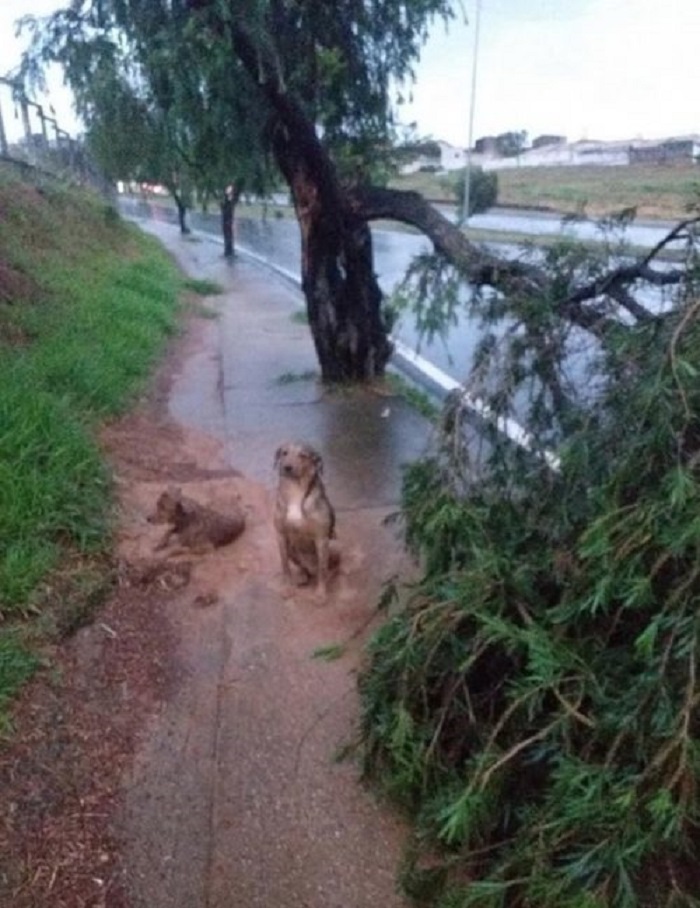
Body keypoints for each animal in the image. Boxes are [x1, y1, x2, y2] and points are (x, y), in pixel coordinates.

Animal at [274, 444, 340, 600]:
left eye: (303, 455)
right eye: (284, 453)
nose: (287, 467)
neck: (295, 490)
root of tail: (311, 569)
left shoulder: (321, 538)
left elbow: (323, 569)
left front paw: (321, 594)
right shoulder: (281, 535)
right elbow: (285, 567)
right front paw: (287, 588)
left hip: (334, 544)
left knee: (327, 568)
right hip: (292, 549)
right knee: (303, 568)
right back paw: (302, 576)